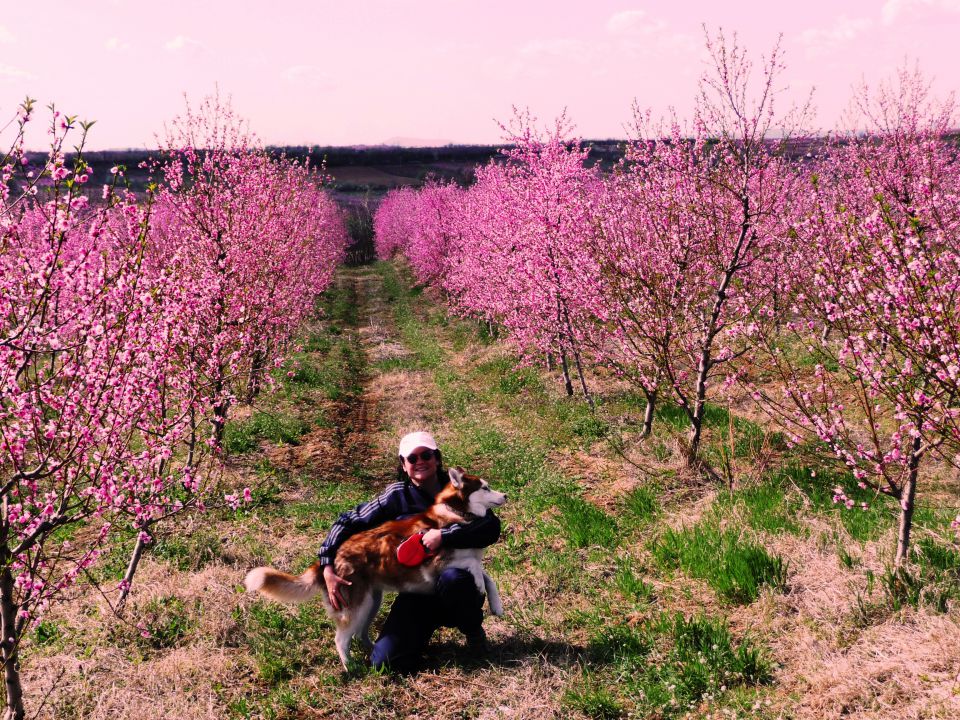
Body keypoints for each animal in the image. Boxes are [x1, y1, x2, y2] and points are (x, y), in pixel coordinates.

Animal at [244, 466, 506, 668]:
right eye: (484, 488)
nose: (505, 495)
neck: (456, 514)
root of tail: (327, 561)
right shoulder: (435, 563)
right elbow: (474, 567)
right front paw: (479, 584)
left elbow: (487, 575)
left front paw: (496, 604)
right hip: (357, 605)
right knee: (341, 638)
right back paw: (350, 666)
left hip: (371, 602)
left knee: (360, 633)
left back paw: (371, 650)